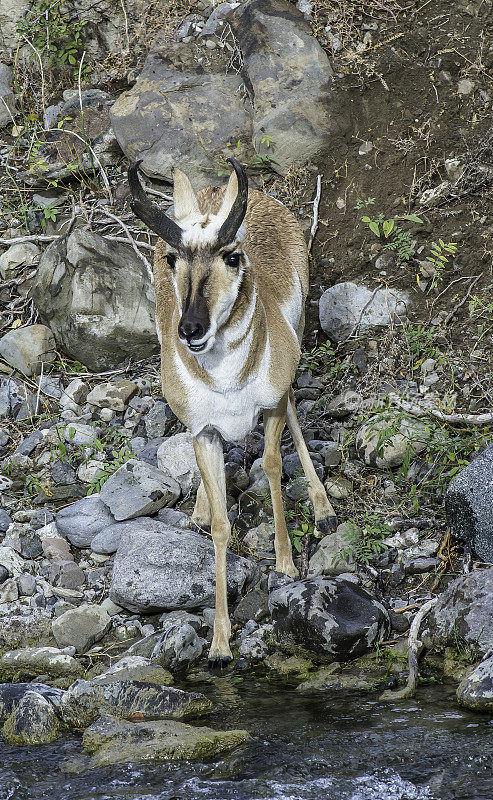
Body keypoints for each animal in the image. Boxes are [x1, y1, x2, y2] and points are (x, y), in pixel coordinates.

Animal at [127, 158, 336, 668]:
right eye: (172, 259)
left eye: (232, 257)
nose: (190, 328)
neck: (226, 384)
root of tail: (219, 190)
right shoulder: (203, 432)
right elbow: (223, 526)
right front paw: (220, 644)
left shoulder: (271, 404)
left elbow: (273, 464)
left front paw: (286, 563)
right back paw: (200, 508)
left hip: (294, 345)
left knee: (295, 411)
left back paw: (323, 509)